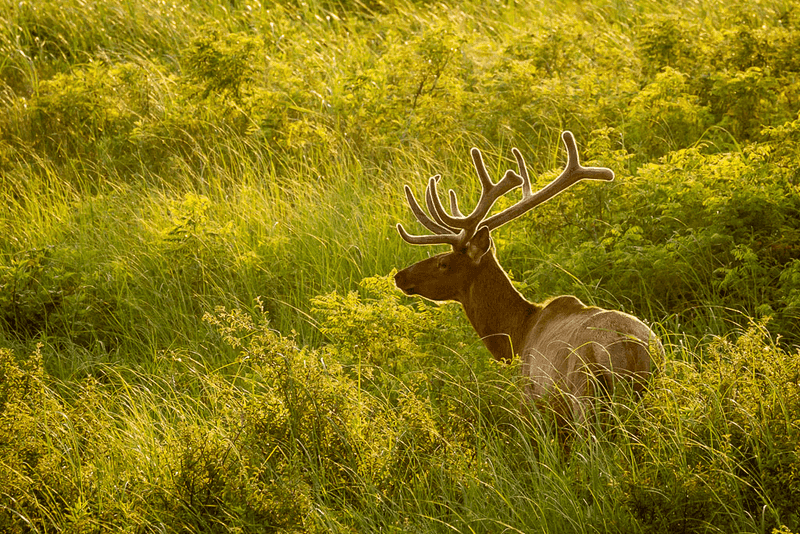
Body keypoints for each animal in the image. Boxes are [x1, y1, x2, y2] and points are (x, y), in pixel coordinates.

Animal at [394, 131, 661, 428]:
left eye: (443, 263)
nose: (400, 276)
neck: (517, 337)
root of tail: (631, 348)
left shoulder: (531, 398)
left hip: (584, 393)